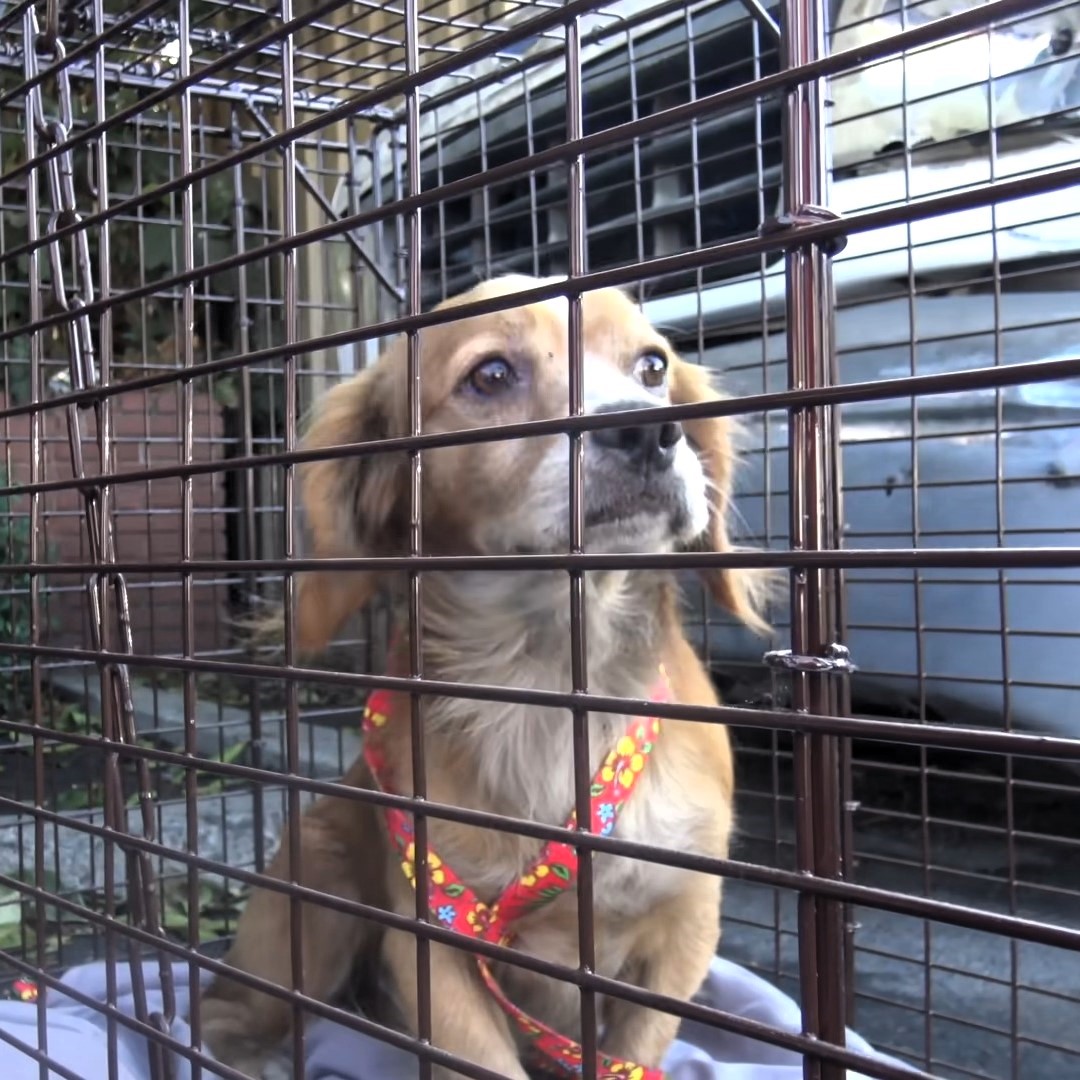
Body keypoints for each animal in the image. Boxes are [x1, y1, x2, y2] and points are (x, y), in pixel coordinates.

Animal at [198, 280, 764, 1080]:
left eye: (653, 365)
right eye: (491, 375)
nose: (651, 429)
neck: (549, 681)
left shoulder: (685, 920)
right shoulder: (431, 938)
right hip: (318, 877)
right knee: (221, 1005)